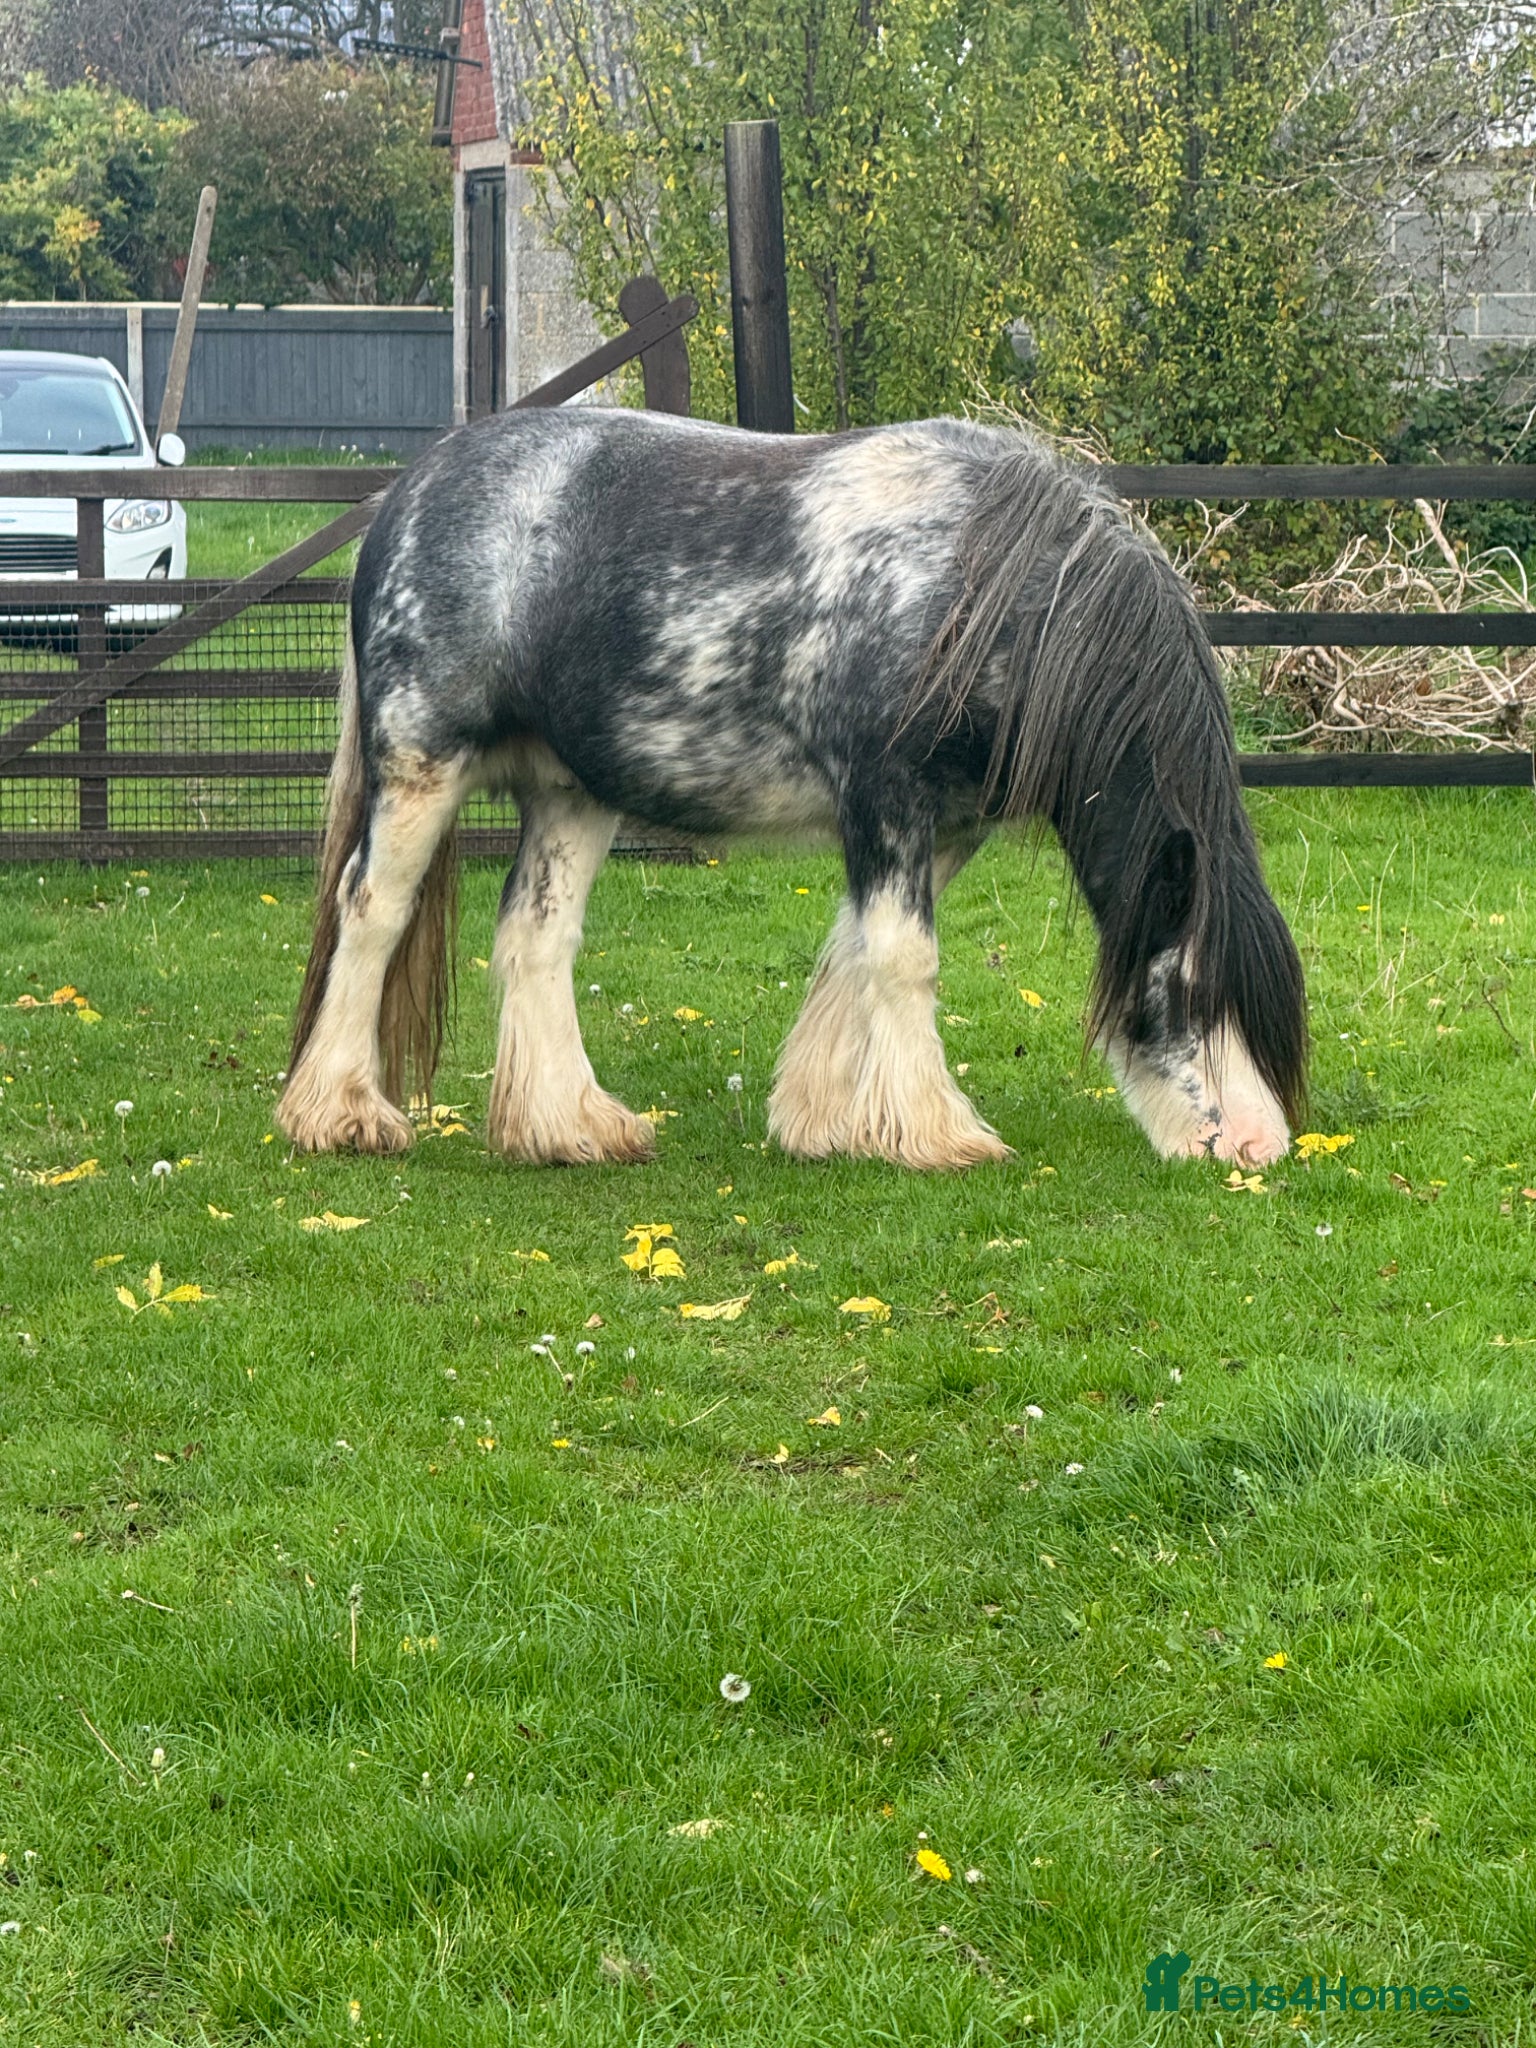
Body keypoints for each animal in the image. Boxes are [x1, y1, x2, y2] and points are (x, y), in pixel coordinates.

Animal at [276, 408, 1306, 1172]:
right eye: (1191, 990)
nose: (1258, 1148)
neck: (975, 591)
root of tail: (407, 492)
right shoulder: (885, 801)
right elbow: (905, 958)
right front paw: (938, 1134)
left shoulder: (938, 827)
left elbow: (856, 952)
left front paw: (827, 1121)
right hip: (422, 764)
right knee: (369, 908)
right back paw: (339, 1113)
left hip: (573, 795)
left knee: (537, 936)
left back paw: (568, 1126)